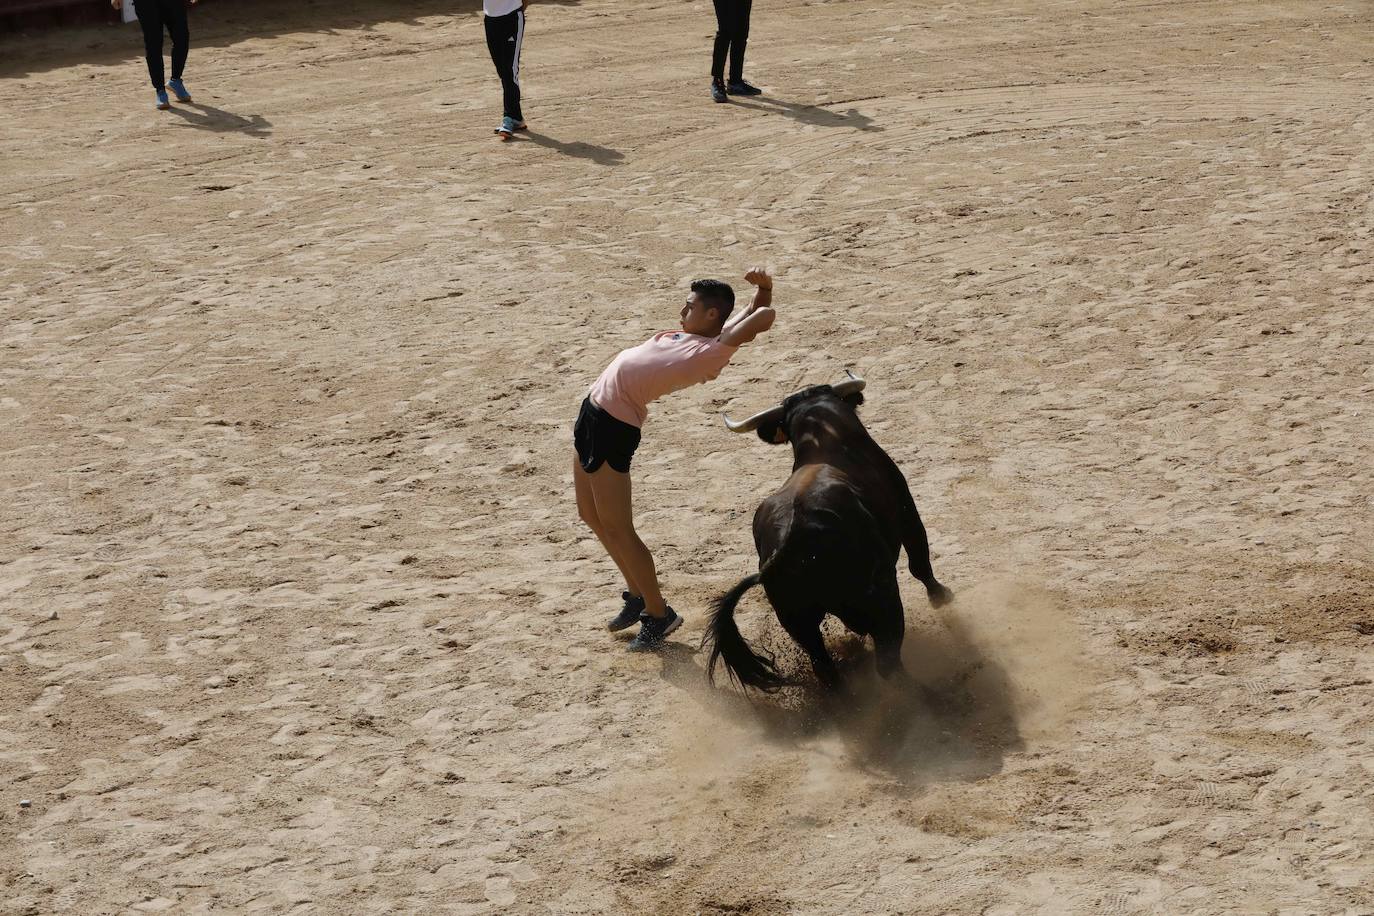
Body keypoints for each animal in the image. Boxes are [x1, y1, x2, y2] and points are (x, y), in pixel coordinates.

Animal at [703, 376, 950, 692]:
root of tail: (790, 542)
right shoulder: (907, 510)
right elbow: (920, 561)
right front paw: (941, 596)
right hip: (882, 599)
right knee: (887, 659)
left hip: (798, 623)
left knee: (825, 669)